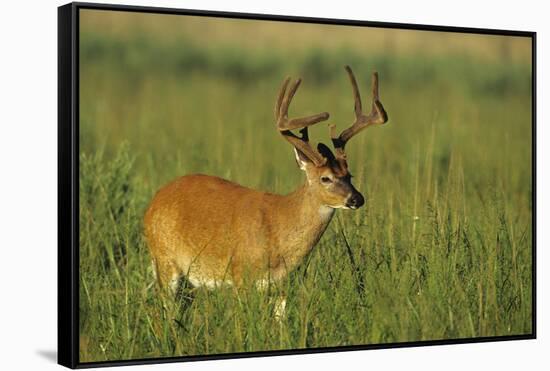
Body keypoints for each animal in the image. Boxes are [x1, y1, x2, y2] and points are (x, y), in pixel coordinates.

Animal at [144, 65, 390, 302]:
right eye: (325, 178)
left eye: (350, 175)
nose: (357, 198)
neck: (279, 229)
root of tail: (153, 203)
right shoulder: (240, 276)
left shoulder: (284, 285)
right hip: (165, 262)